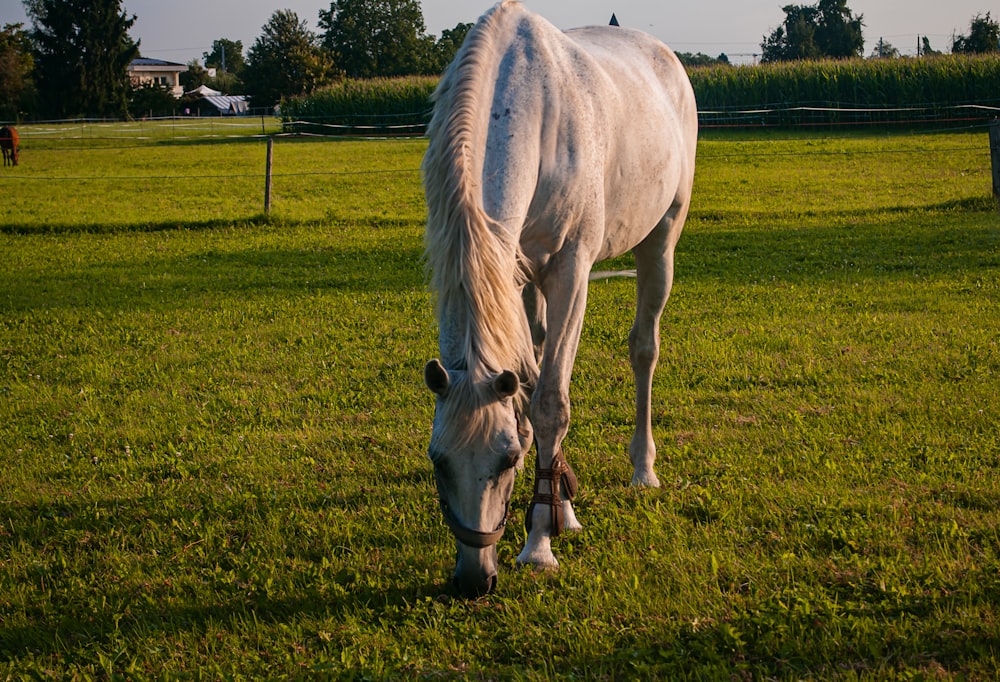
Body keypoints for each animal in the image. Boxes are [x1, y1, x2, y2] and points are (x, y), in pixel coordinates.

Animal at [420, 1, 696, 596]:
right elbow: (528, 388)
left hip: (660, 239)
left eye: (504, 461)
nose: (474, 579)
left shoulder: (570, 272)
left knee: (644, 349)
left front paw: (539, 545)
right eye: (438, 461)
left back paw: (643, 470)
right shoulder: (513, 273)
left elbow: (550, 403)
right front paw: (556, 508)